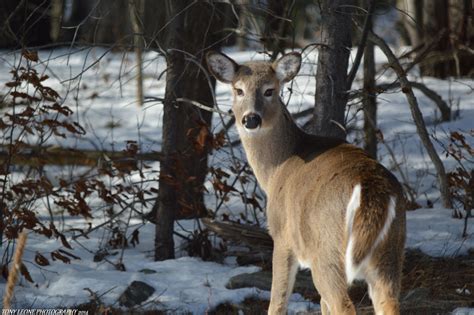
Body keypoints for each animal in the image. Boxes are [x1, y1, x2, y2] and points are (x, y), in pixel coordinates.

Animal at [206, 51, 406, 315]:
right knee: (388, 302)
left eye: (270, 90)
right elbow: (322, 305)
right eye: (239, 90)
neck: (276, 169)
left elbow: (277, 302)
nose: (251, 119)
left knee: (343, 304)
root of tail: (371, 190)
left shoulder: (282, 235)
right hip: (391, 250)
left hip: (328, 250)